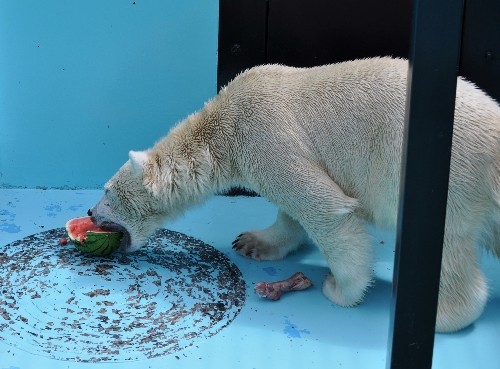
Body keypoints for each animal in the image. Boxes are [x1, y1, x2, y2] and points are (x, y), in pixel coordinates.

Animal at [90, 57, 500, 334]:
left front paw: (340, 288)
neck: (221, 127)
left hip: (451, 180)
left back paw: (443, 314)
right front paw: (254, 242)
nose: (91, 214)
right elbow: (291, 210)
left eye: (107, 192)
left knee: (445, 248)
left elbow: (326, 209)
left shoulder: (264, 134)